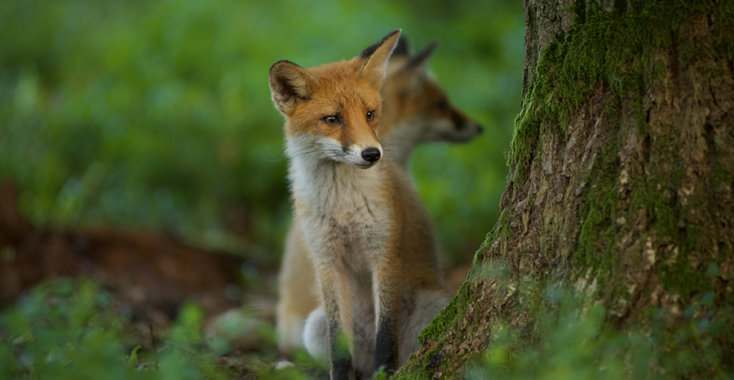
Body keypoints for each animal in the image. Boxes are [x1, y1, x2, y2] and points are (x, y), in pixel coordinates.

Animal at [276, 35, 484, 354]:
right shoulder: (326, 259)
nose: (372, 154)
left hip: (430, 306)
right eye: (332, 119)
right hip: (312, 326)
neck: (343, 204)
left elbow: (385, 337)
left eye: (369, 114)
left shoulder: (385, 251)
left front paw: (384, 365)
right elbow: (340, 349)